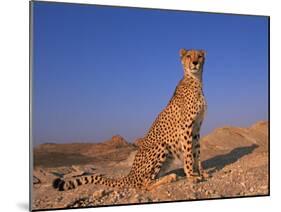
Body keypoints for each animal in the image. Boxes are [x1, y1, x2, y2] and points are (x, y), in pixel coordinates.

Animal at [53, 48, 208, 191]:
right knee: (144, 184)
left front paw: (201, 172)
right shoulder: (186, 127)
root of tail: (130, 174)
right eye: (189, 56)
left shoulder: (196, 128)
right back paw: (170, 177)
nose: (195, 63)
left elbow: (197, 152)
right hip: (161, 146)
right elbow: (188, 153)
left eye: (199, 56)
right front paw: (191, 176)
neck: (195, 80)